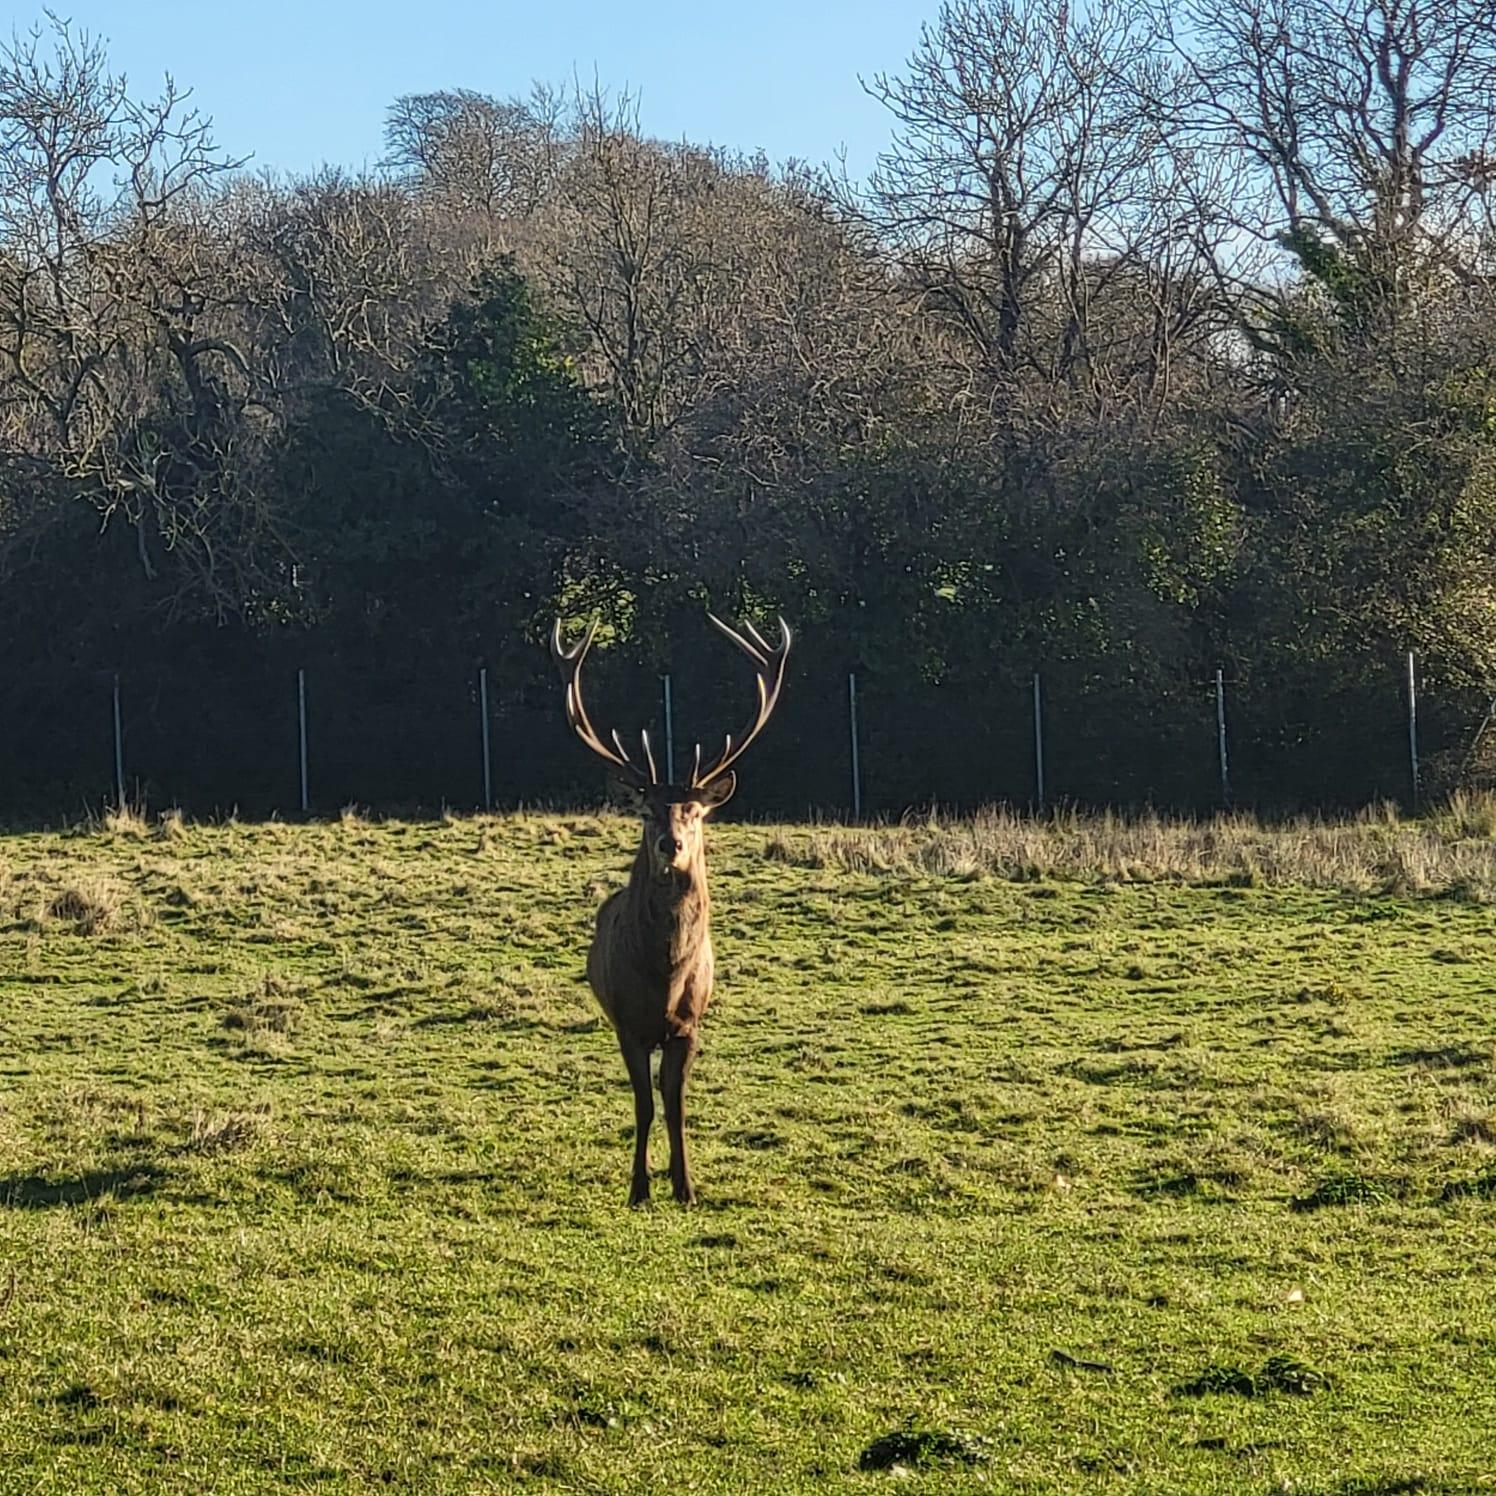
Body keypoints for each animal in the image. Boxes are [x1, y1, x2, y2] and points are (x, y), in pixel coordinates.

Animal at [549, 613, 791, 1206]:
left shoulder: (689, 1025)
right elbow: (643, 1105)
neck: (663, 975)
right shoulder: (627, 1025)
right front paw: (639, 1187)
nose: (670, 844)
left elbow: (676, 1105)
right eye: (647, 811)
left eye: (694, 811)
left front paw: (685, 1186)